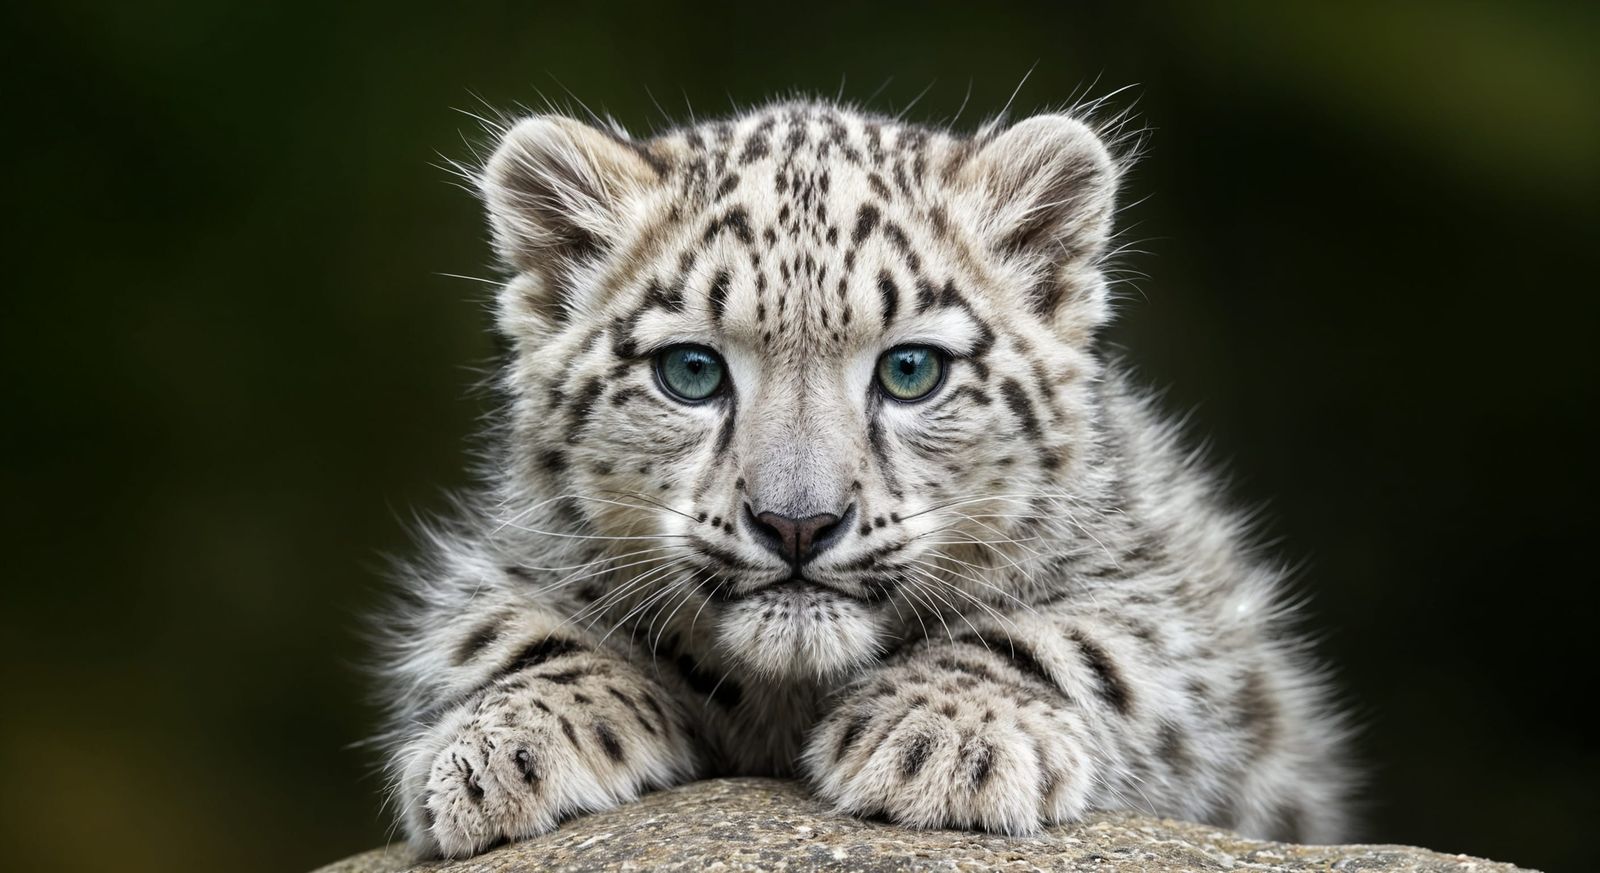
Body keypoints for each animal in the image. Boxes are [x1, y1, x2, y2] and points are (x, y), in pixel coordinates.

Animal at [373, 98, 1353, 858]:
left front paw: (944, 741)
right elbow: (502, 631)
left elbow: (1091, 637)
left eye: (912, 369)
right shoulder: (503, 561)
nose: (797, 522)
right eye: (690, 371)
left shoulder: (1185, 612)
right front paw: (499, 750)